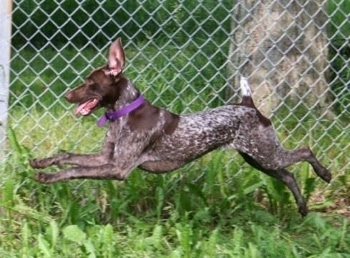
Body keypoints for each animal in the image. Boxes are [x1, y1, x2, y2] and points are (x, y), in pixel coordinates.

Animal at [30, 37, 330, 216]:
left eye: (90, 83)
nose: (67, 96)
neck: (124, 113)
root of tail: (249, 106)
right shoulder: (107, 158)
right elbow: (67, 156)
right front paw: (42, 163)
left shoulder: (117, 168)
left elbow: (73, 170)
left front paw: (48, 177)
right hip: (258, 159)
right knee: (289, 176)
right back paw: (302, 208)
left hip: (267, 154)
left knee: (305, 151)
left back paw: (324, 174)